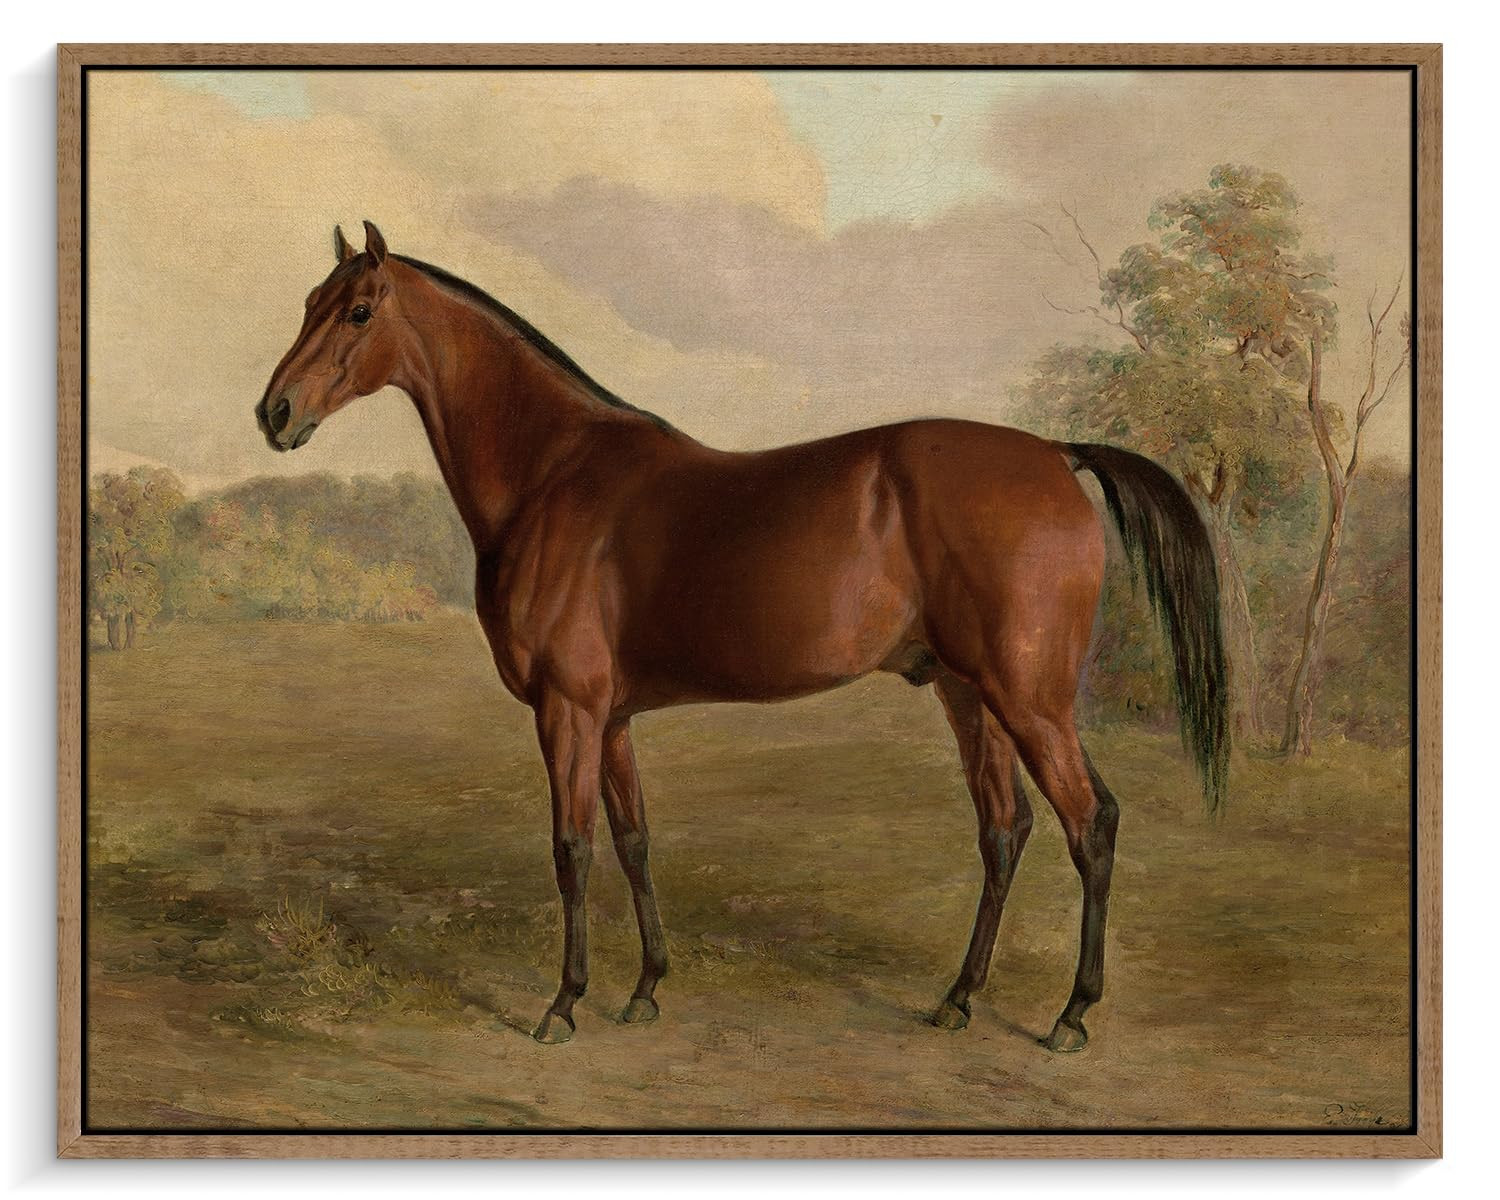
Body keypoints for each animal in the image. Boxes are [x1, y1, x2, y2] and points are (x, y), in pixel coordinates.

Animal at [257, 221, 1228, 1051]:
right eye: (306, 300)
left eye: (357, 311)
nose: (275, 413)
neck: (553, 474)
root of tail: (1056, 454)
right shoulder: (611, 718)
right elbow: (633, 841)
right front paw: (645, 990)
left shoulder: (567, 711)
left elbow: (572, 850)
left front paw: (563, 1005)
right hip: (970, 694)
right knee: (1005, 828)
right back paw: (957, 999)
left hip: (1030, 698)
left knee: (1089, 822)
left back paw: (1072, 1015)